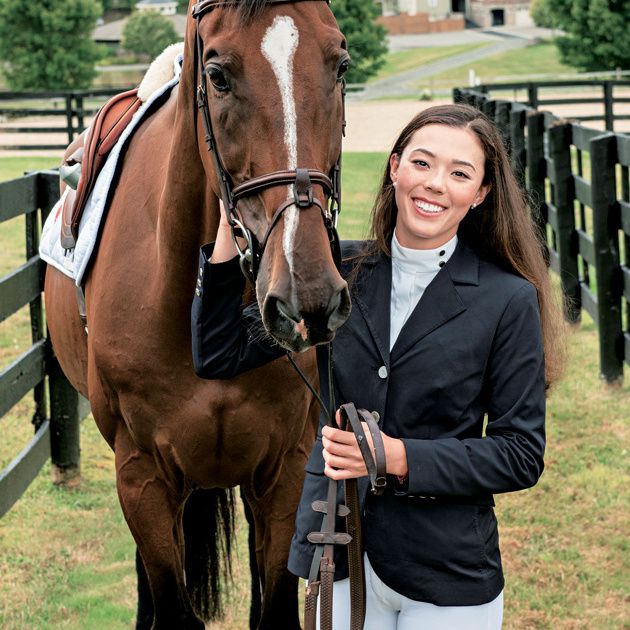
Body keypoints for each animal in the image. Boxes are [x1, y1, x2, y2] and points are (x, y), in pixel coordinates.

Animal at [44, 2, 350, 628]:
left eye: (340, 65)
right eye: (218, 75)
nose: (305, 295)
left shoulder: (284, 469)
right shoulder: (142, 478)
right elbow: (169, 600)